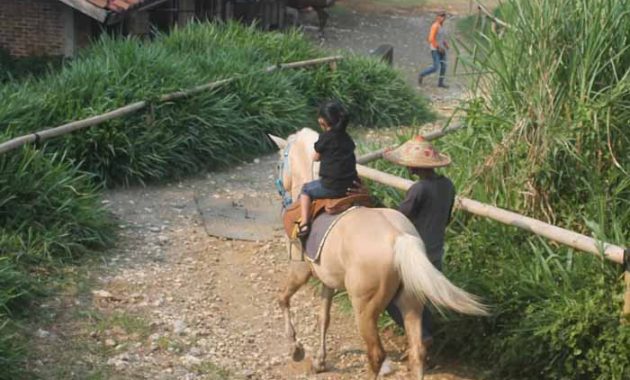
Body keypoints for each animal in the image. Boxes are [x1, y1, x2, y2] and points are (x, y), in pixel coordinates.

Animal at [272, 129, 488, 378]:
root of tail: (400, 238)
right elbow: (323, 317)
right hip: (411, 301)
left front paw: (295, 348)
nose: (281, 193)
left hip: (365, 310)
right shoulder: (328, 279)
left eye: (280, 162)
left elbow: (283, 299)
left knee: (376, 355)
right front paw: (319, 361)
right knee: (418, 350)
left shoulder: (300, 270)